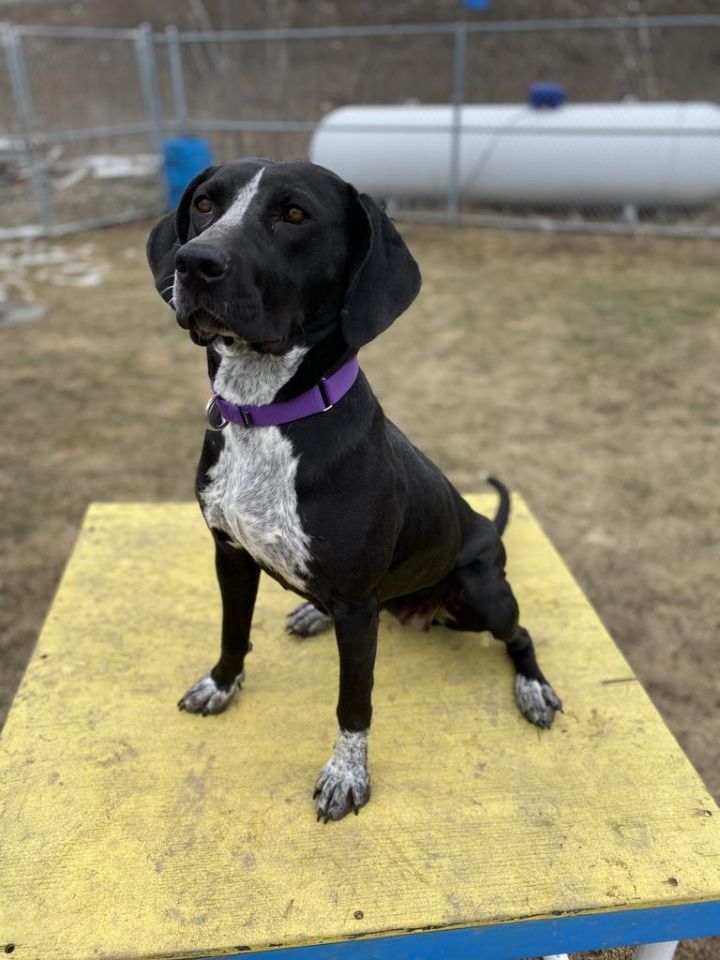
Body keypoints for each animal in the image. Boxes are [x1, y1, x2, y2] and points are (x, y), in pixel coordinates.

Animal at [146, 161, 564, 820]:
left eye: (295, 214)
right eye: (206, 204)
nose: (194, 262)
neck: (268, 414)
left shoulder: (355, 606)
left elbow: (355, 699)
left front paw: (347, 775)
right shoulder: (230, 554)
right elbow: (232, 632)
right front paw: (220, 684)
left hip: (482, 590)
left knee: (518, 635)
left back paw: (534, 688)